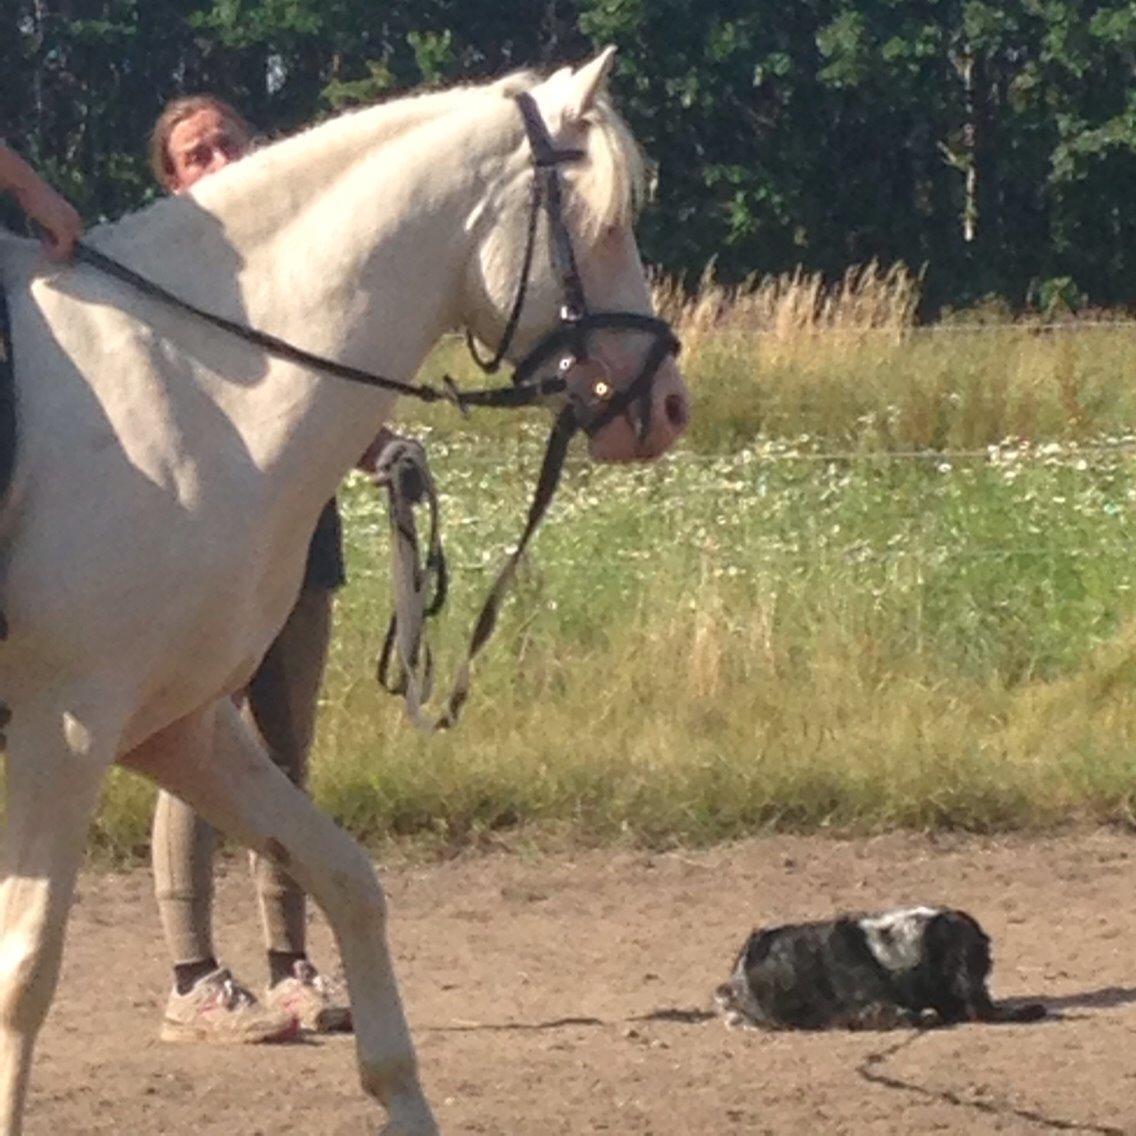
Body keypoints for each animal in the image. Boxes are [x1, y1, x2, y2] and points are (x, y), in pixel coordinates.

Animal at [0, 48, 681, 1131]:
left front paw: (401, 1095)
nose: (667, 401)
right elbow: (25, 971)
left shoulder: (177, 725)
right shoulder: (63, 724)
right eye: (605, 221)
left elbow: (346, 876)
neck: (190, 381)